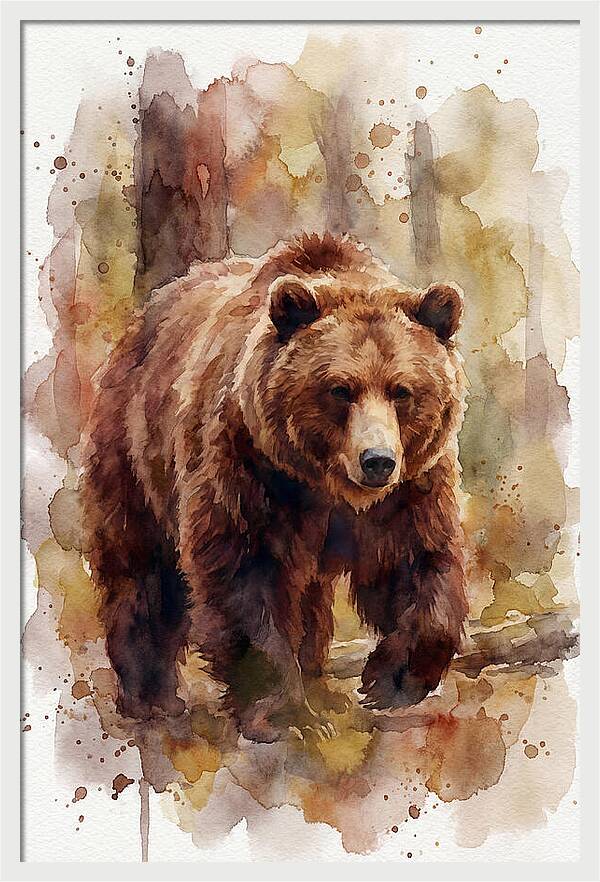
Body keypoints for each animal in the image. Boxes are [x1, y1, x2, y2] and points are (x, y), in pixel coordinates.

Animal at [81, 232, 468, 742]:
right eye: (340, 389)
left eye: (401, 390)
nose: (377, 461)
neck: (325, 484)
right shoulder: (249, 465)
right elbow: (247, 572)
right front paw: (280, 712)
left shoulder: (409, 487)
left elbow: (418, 559)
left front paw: (391, 679)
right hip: (135, 447)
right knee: (142, 568)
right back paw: (151, 696)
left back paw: (318, 679)